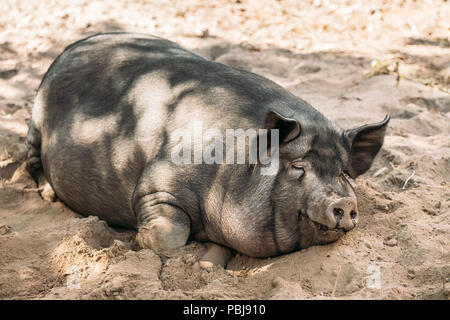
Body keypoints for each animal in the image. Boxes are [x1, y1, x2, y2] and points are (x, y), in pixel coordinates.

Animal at [26, 32, 388, 258]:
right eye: (298, 166)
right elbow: (170, 234)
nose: (345, 203)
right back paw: (48, 194)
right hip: (36, 120)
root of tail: (74, 45)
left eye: (343, 173)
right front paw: (140, 237)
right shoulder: (155, 183)